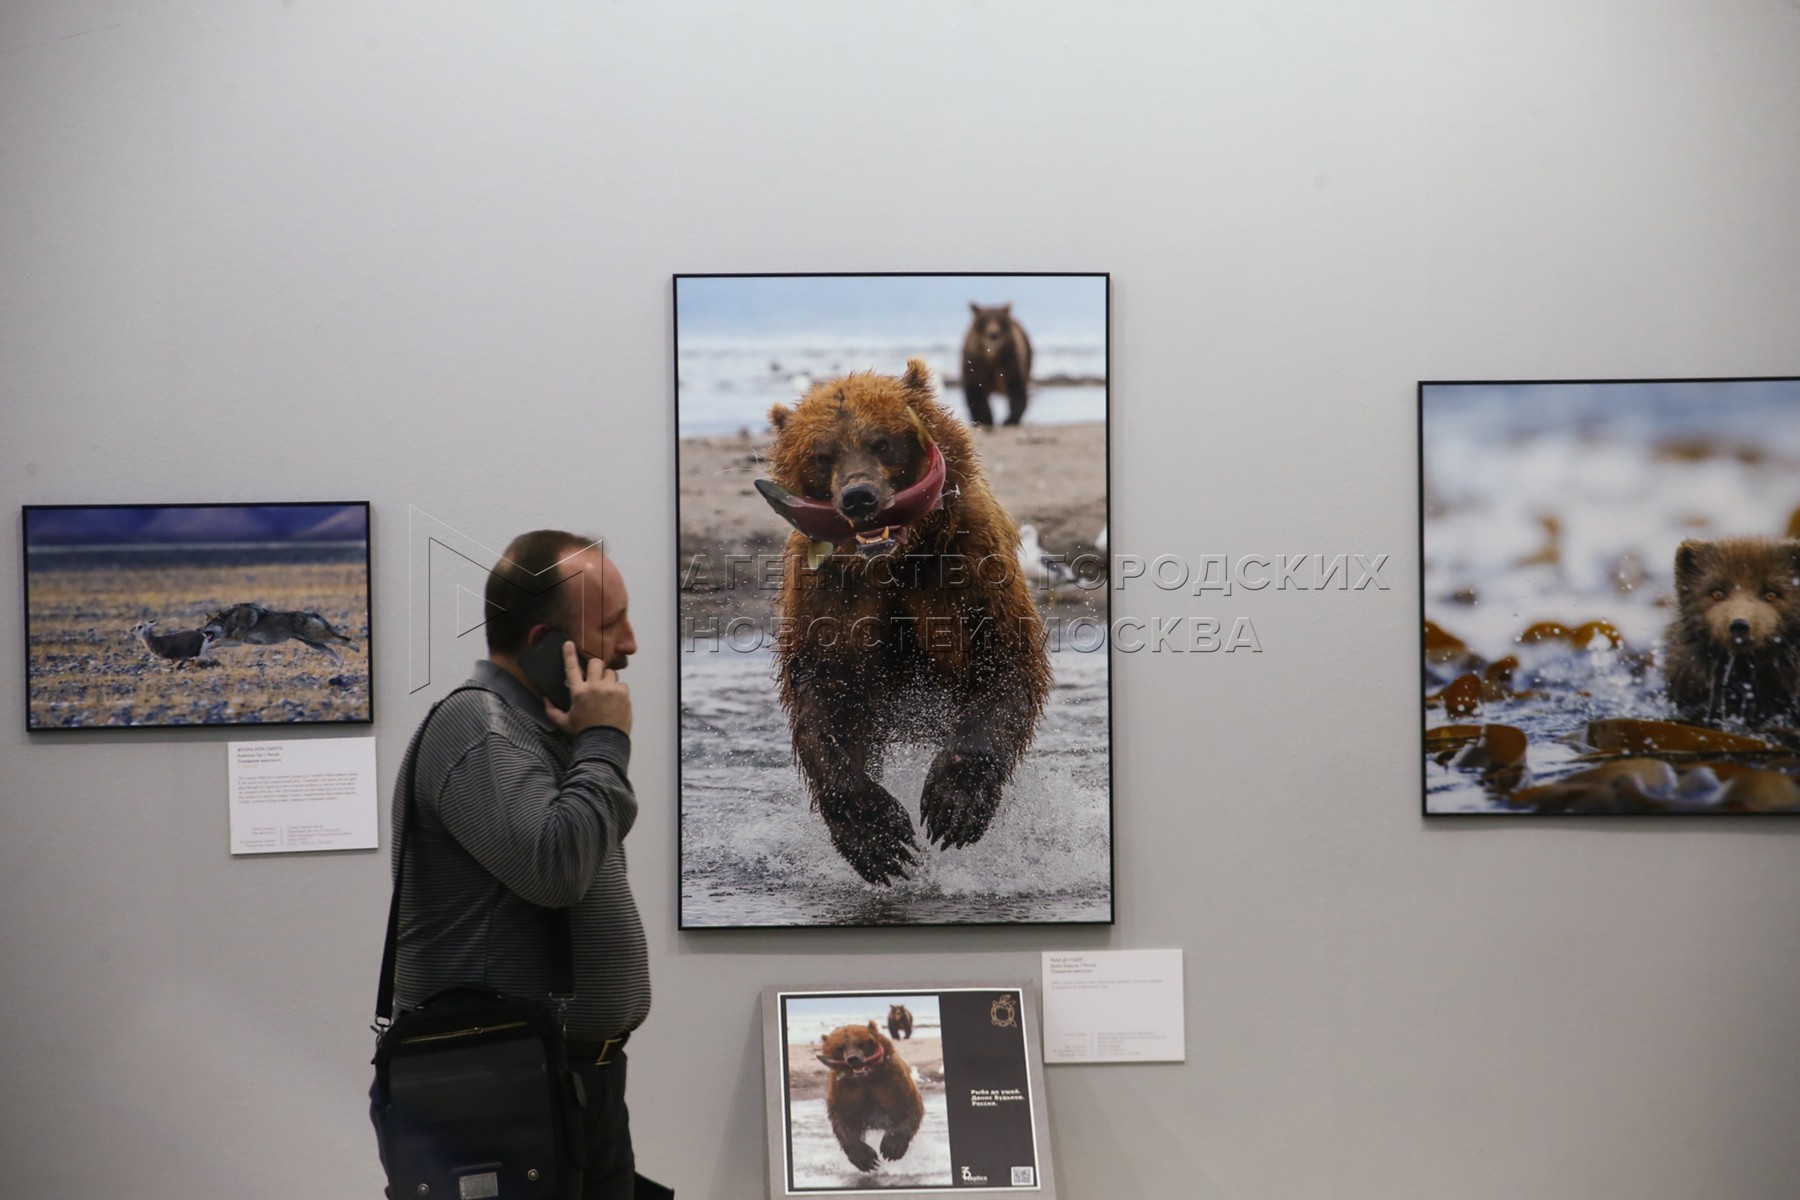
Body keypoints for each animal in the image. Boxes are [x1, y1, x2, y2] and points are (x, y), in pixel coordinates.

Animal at [763, 356, 1051, 881]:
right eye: (823, 454)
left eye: (882, 440)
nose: (858, 496)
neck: (896, 560)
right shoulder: (830, 593)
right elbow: (825, 697)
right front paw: (877, 836)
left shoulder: (968, 568)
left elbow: (1005, 663)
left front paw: (952, 806)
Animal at [820, 1021, 928, 1173]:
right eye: (840, 1047)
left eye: (861, 1043)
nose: (853, 1059)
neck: (866, 1078)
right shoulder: (845, 1090)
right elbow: (843, 1120)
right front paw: (866, 1159)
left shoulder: (892, 1082)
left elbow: (909, 1107)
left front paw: (891, 1148)